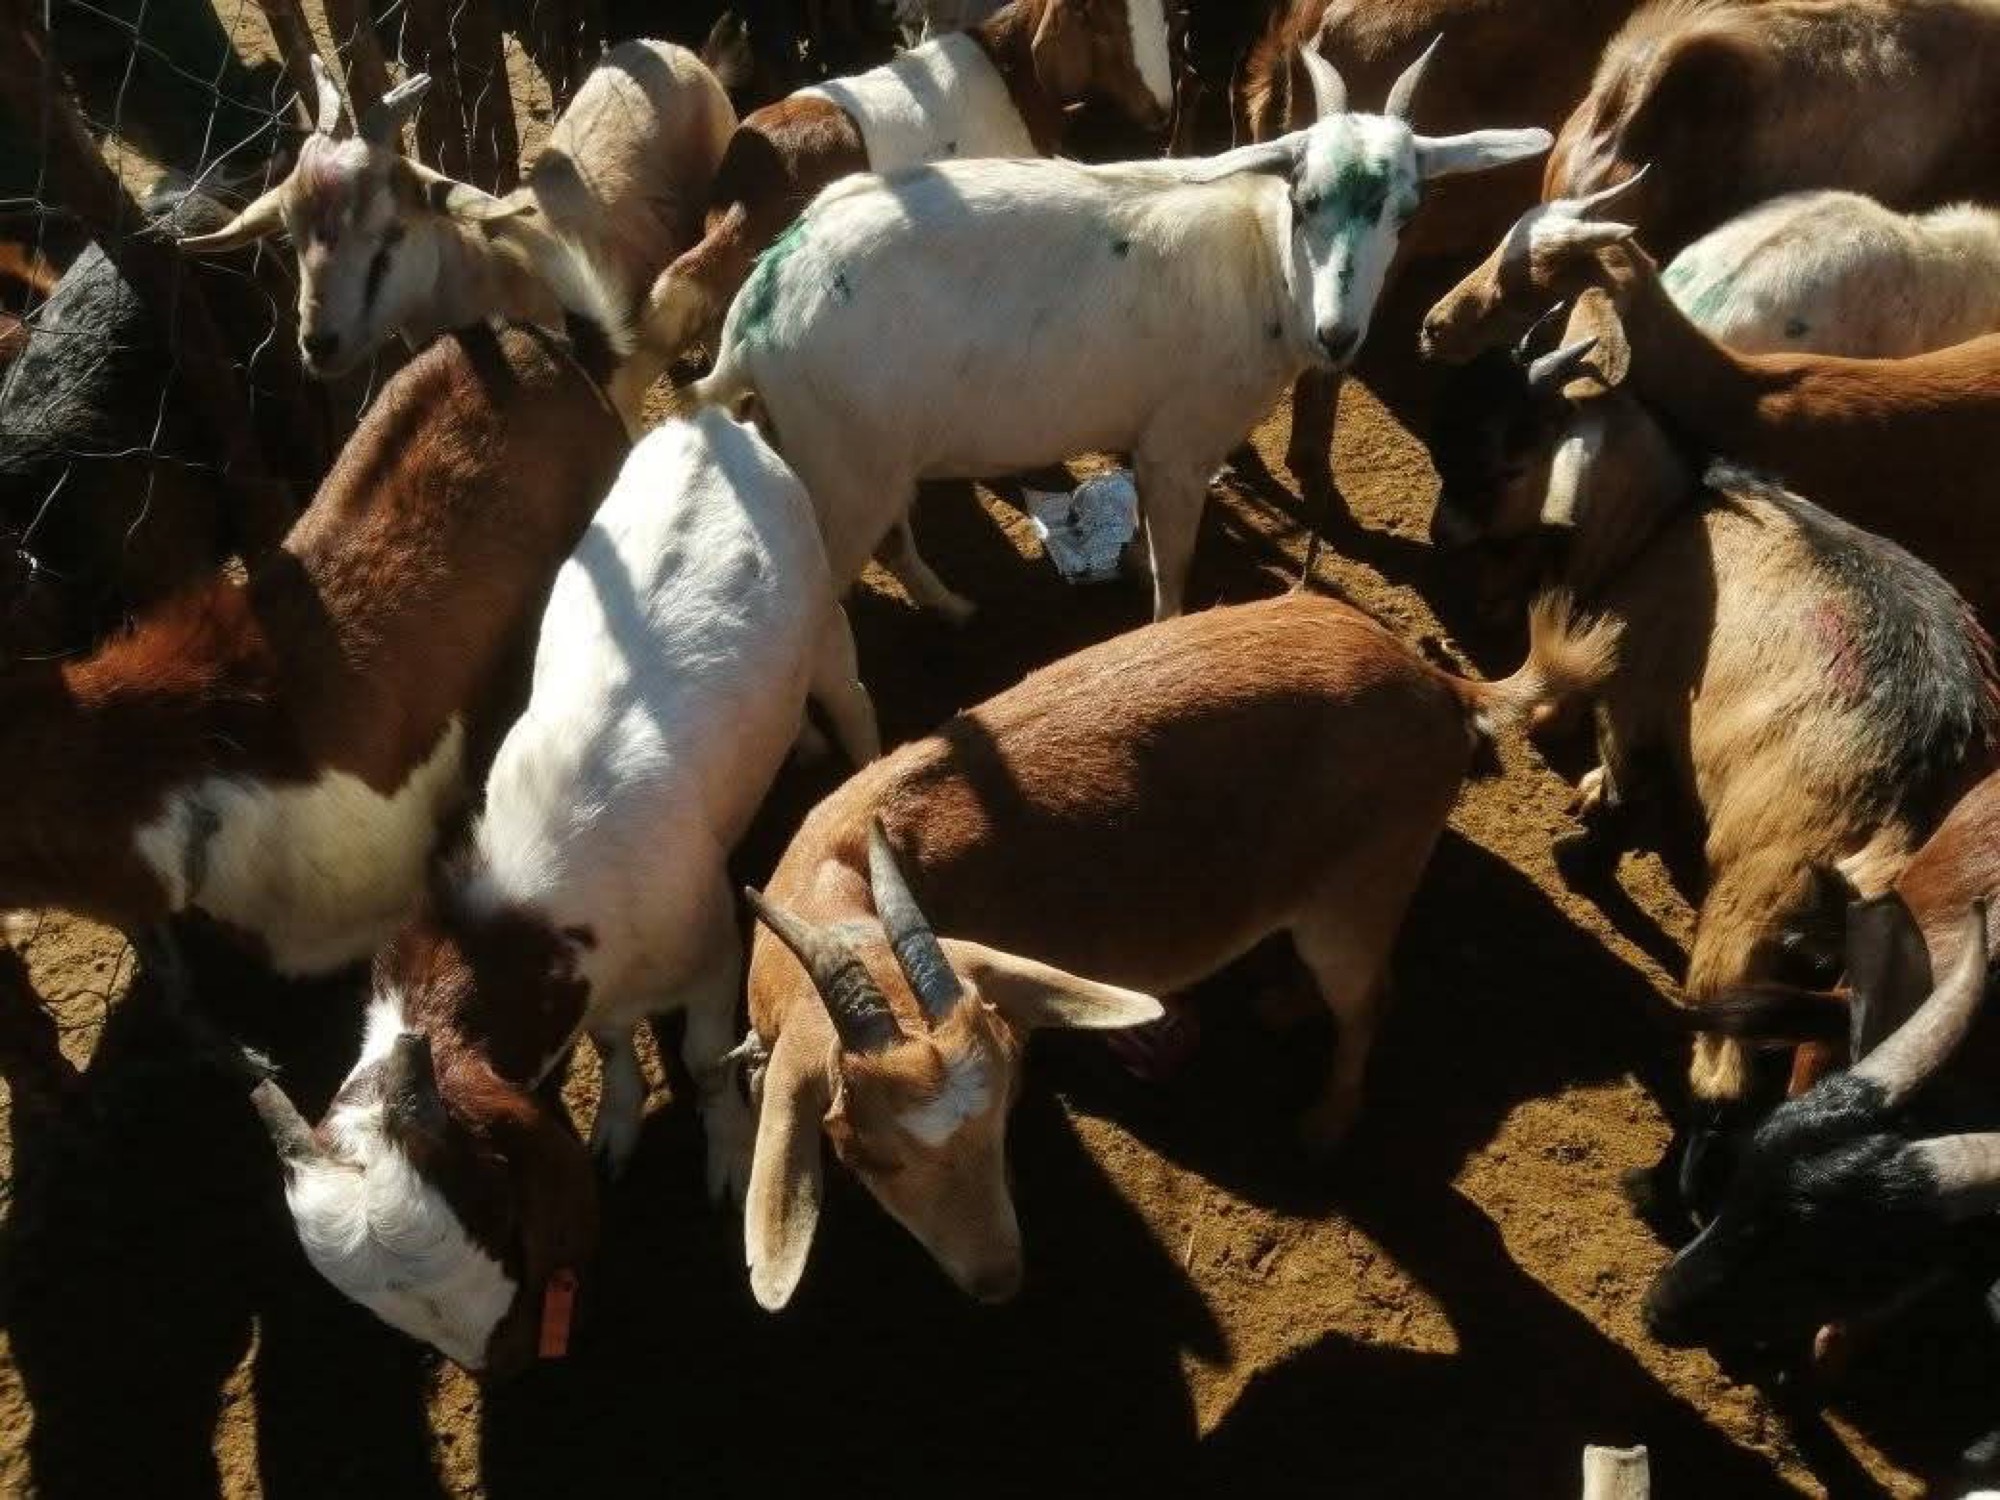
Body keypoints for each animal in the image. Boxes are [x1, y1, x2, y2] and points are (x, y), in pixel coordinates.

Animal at [245, 407, 878, 1373]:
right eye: (387, 1312)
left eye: (497, 1214)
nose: (495, 1362)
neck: (516, 915)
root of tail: (708, 421)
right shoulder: (600, 987)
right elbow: (615, 1044)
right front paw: (618, 1117)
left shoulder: (710, 949)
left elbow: (704, 1055)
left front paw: (727, 1152)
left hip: (823, 618)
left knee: (850, 694)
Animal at [691, 44, 1550, 623]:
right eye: (1302, 200)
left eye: (1408, 214)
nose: (1338, 337)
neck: (1258, 261)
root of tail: (757, 305)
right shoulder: (1179, 446)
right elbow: (1176, 569)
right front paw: (1166, 632)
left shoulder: (1147, 441)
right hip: (844, 465)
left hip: (853, 454)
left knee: (892, 543)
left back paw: (953, 606)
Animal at [735, 590, 1614, 1308]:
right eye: (867, 1155)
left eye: (1000, 1112)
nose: (999, 1281)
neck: (847, 880)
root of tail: (1441, 685)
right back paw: (1284, 1003)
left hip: (1360, 891)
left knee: (1369, 996)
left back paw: (1327, 1119)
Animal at [1425, 313, 2000, 1219]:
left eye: (1510, 460)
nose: (1441, 534)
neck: (1668, 512)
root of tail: (1926, 784)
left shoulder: (1637, 697)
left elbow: (1627, 789)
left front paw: (1580, 855)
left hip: (1756, 890)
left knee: (1726, 1072)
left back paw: (1658, 1189)